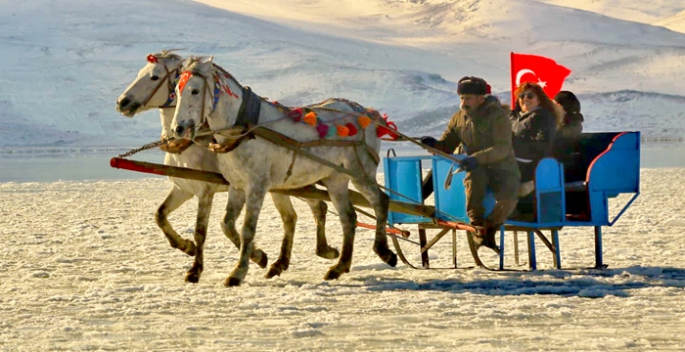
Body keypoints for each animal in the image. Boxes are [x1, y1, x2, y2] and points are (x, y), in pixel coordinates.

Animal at [115, 51, 340, 284]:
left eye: (154, 76)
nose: (122, 102)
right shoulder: (183, 187)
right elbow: (160, 215)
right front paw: (186, 246)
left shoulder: (205, 191)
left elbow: (201, 230)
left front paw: (196, 269)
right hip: (281, 187)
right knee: (293, 216)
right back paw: (285, 262)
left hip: (298, 183)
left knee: (318, 207)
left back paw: (325, 251)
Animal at [170, 55, 396, 286]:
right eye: (177, 91)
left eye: (195, 90)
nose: (178, 128)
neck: (244, 129)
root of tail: (366, 113)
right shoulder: (237, 186)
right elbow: (227, 224)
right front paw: (259, 257)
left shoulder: (257, 186)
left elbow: (247, 229)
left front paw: (238, 272)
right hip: (336, 180)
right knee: (348, 218)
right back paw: (339, 266)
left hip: (360, 172)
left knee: (380, 201)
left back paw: (384, 251)